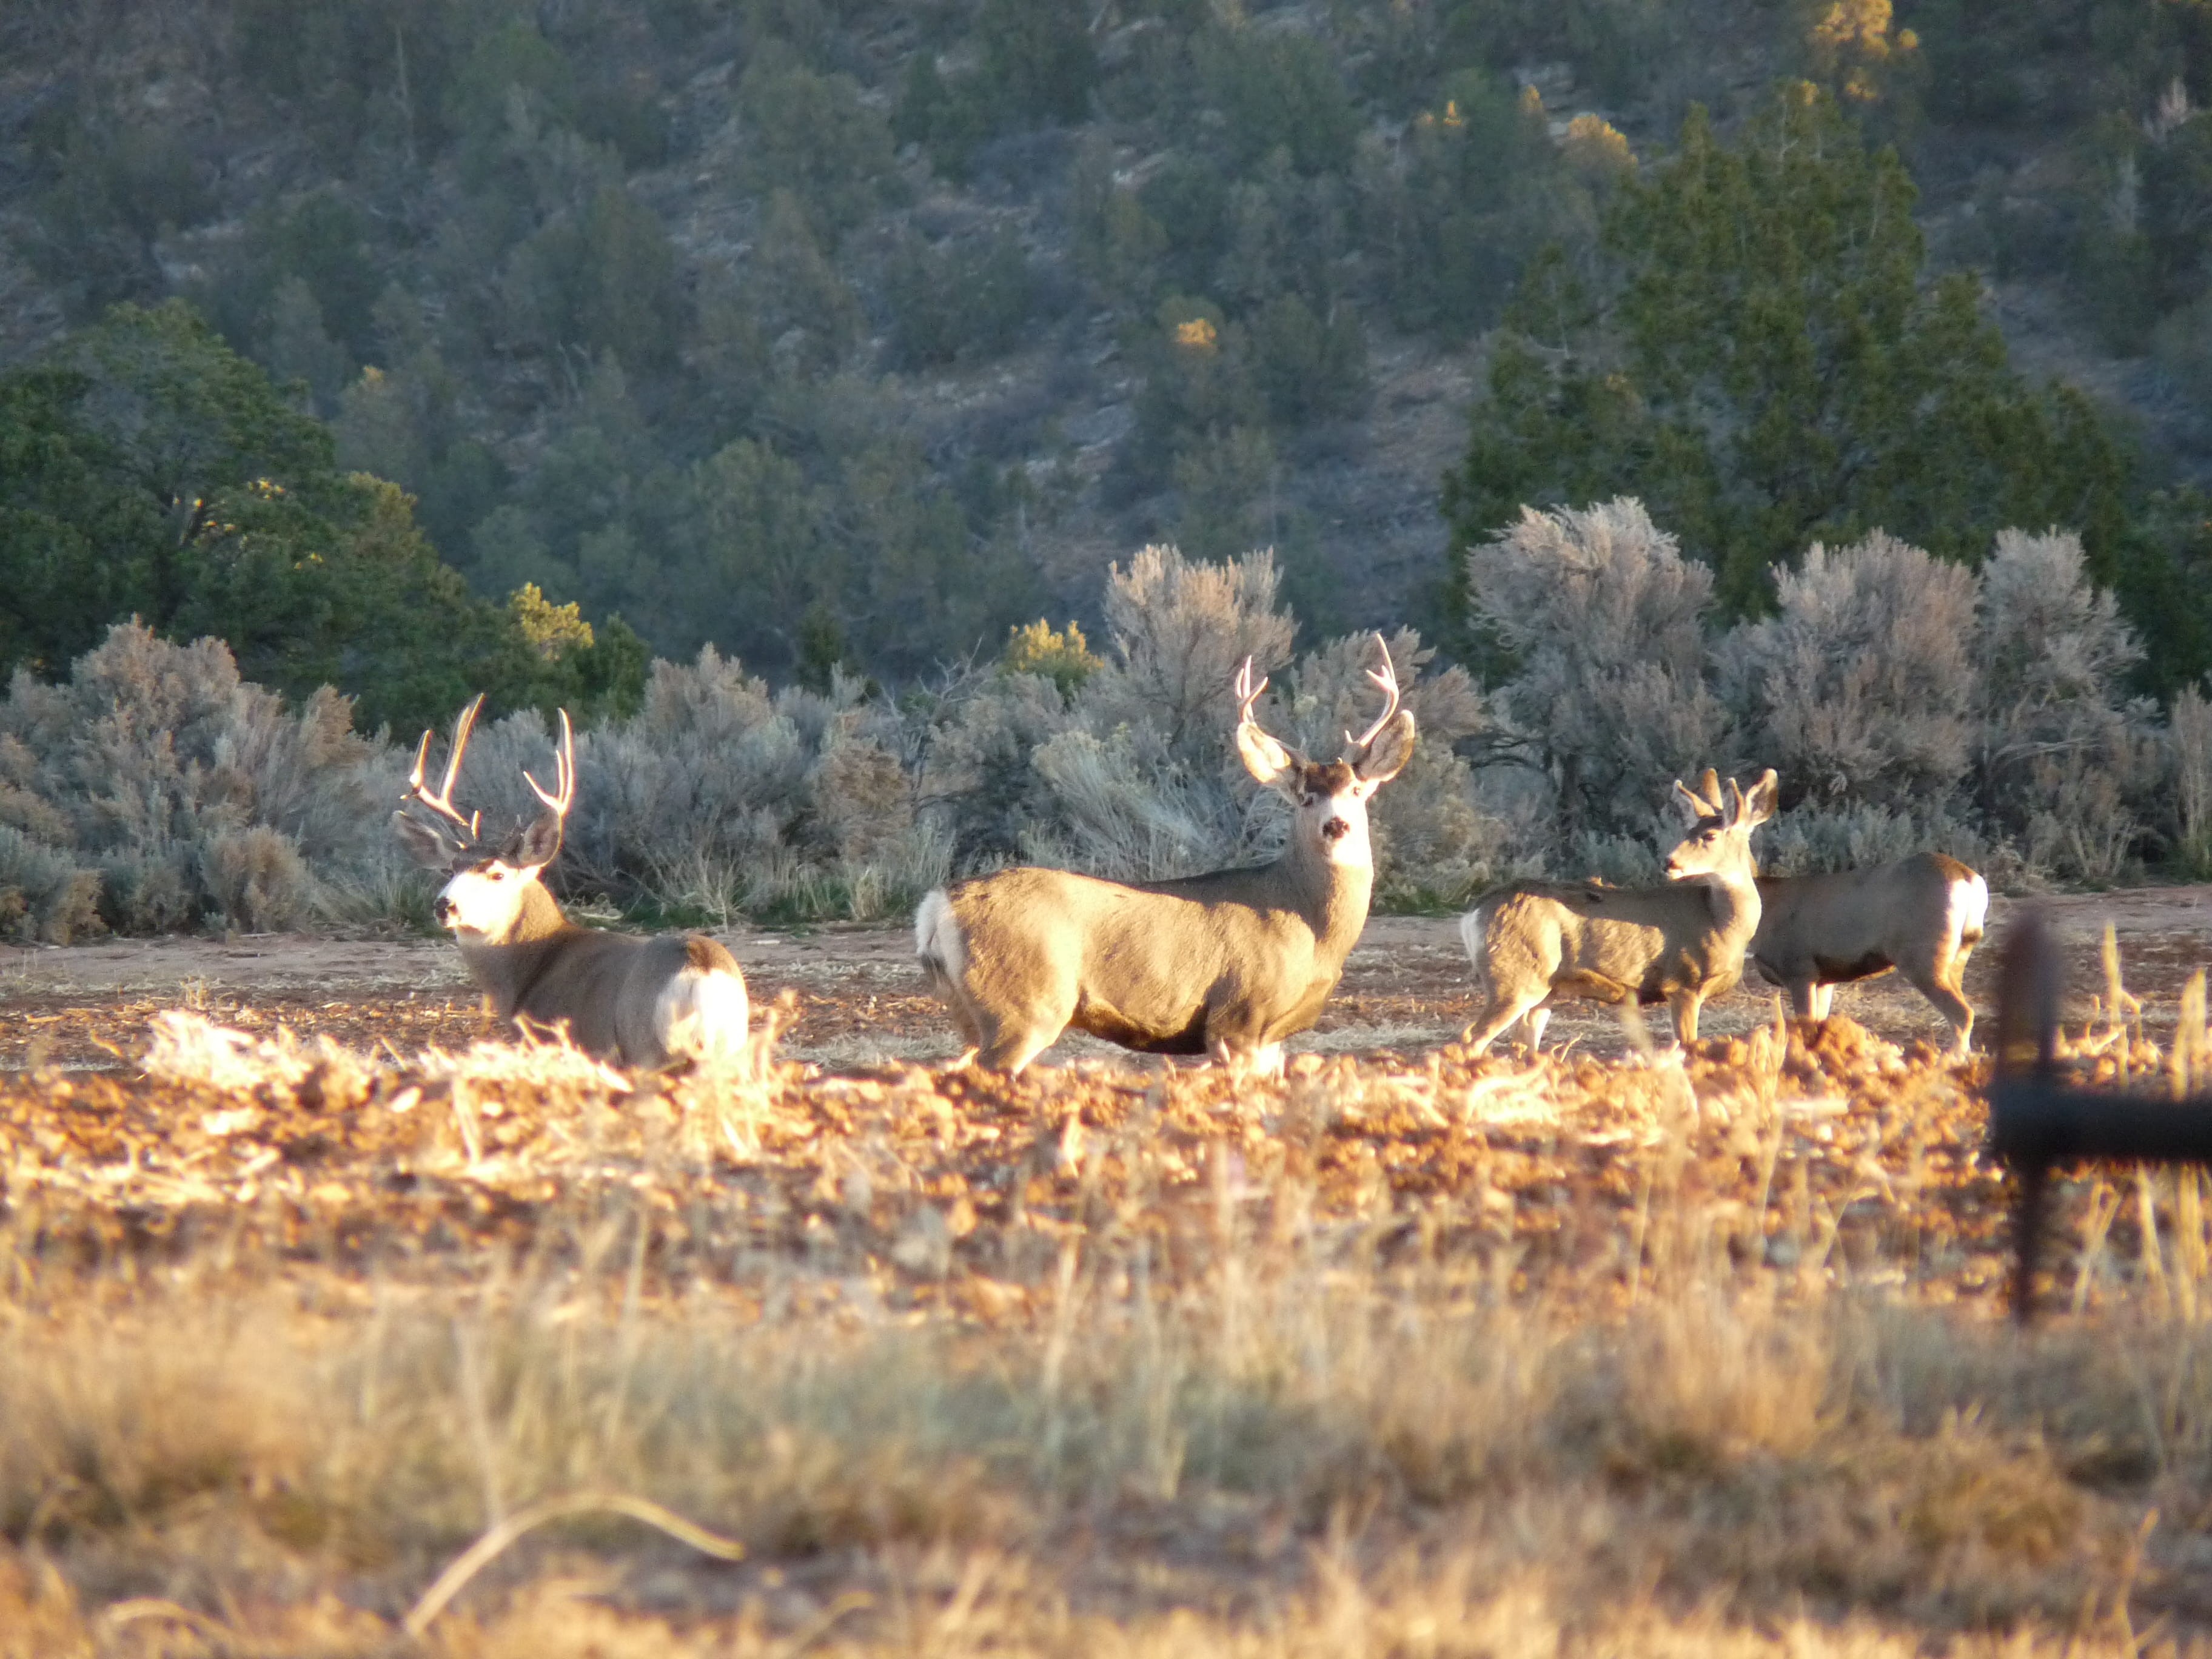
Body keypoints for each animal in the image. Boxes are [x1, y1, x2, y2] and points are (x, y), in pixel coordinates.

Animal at [392, 696, 749, 1070]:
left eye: (498, 873)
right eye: (451, 869)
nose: (444, 906)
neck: (535, 964)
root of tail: (701, 973)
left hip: (646, 1052)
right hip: (731, 1052)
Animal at [914, 634, 1416, 1075]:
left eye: (1357, 791)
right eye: (1305, 798)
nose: (1337, 825)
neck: (1309, 926)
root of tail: (938, 905)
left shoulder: (1272, 1037)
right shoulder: (1238, 1014)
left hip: (971, 1013)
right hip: (1024, 1004)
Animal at [1458, 767, 1779, 1056]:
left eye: (1710, 835)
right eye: (1689, 831)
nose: (1670, 862)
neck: (1721, 921)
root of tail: (1472, 914)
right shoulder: (1683, 983)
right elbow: (1689, 1047)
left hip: (1545, 989)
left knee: (1523, 1047)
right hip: (1515, 979)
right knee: (1473, 1037)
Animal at [1748, 852, 1988, 1055]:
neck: (1766, 905)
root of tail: (1968, 879)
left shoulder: (1799, 969)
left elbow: (1807, 1027)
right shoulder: (1824, 979)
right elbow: (1821, 1025)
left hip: (1922, 956)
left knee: (1962, 1014)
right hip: (1958, 956)